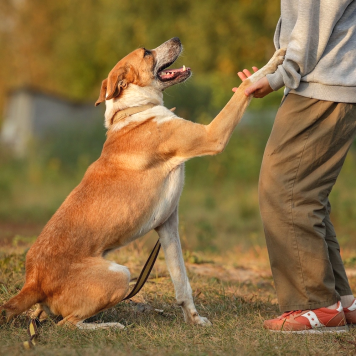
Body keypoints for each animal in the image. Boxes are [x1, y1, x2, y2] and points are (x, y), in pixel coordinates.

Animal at [0, 37, 284, 330]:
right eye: (147, 52)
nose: (177, 39)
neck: (133, 110)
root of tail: (33, 282)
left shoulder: (168, 224)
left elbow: (182, 282)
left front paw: (194, 320)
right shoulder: (212, 135)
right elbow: (245, 86)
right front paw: (276, 60)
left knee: (47, 315)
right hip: (121, 274)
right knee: (67, 323)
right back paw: (108, 326)